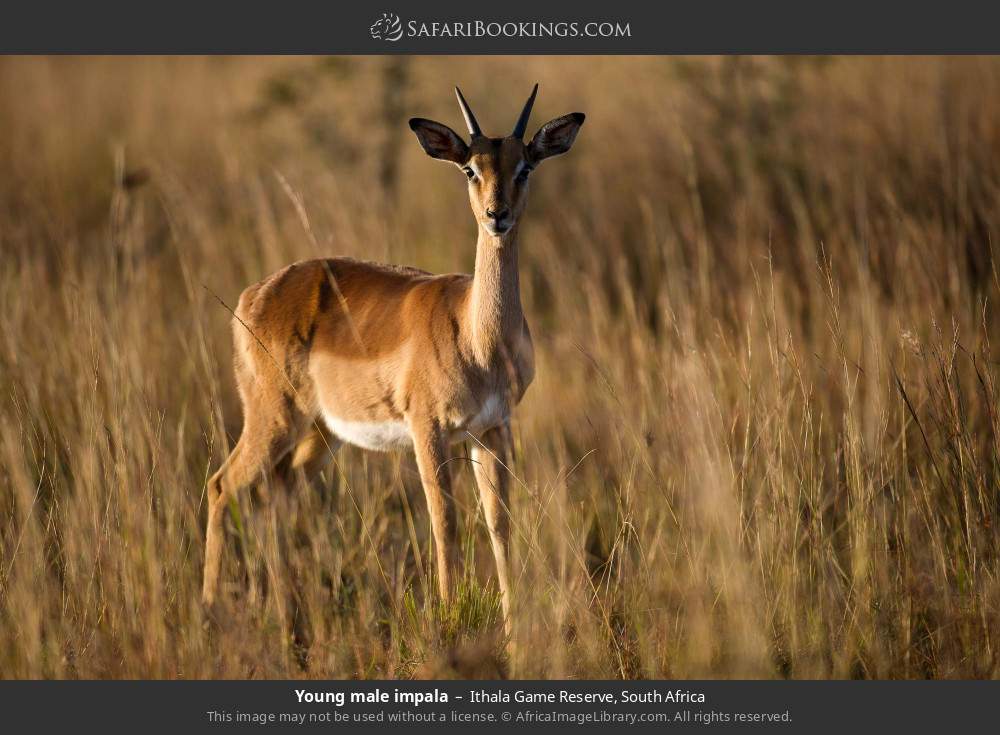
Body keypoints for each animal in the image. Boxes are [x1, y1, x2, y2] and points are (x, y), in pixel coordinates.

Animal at [202, 85, 585, 631]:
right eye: (470, 168)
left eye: (525, 166)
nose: (497, 215)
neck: (478, 336)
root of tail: (254, 294)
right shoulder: (429, 431)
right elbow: (445, 523)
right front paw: (448, 622)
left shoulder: (493, 430)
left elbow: (499, 524)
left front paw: (515, 634)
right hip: (273, 417)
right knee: (222, 486)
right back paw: (211, 610)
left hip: (322, 432)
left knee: (279, 490)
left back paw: (286, 615)